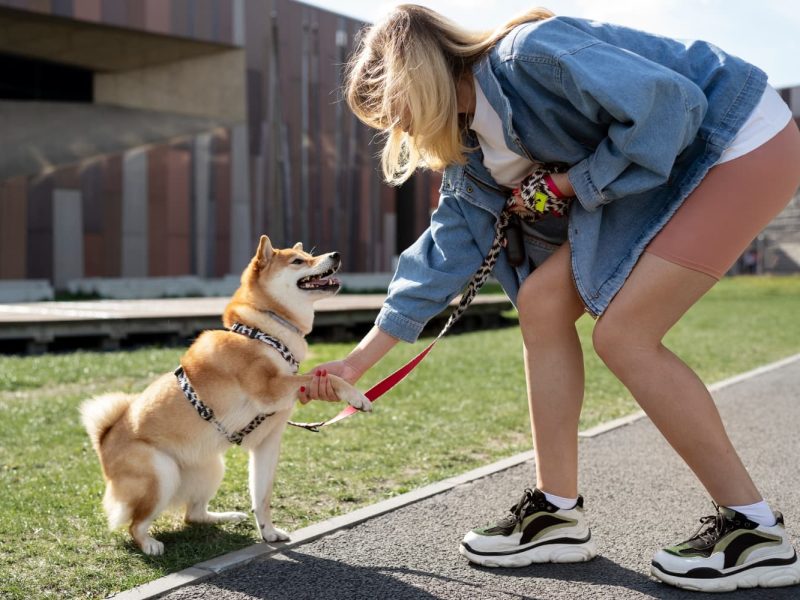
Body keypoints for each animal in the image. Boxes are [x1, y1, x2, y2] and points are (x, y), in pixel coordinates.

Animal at [81, 234, 372, 552]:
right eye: (298, 261)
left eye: (309, 254)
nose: (336, 254)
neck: (265, 331)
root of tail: (104, 441)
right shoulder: (268, 388)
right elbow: (328, 377)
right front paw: (357, 396)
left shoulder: (268, 442)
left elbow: (262, 496)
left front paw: (269, 532)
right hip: (162, 473)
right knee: (135, 525)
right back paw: (149, 544)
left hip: (211, 468)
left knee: (192, 515)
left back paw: (226, 516)